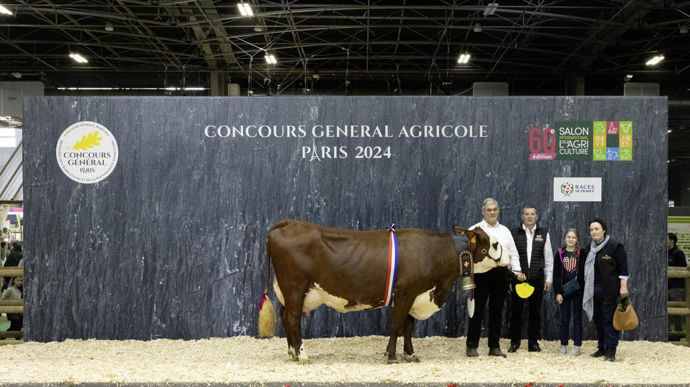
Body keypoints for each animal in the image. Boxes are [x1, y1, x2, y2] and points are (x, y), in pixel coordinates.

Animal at [255, 220, 508, 366]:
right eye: (494, 243)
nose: (509, 256)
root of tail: (289, 223)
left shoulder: (414, 294)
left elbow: (408, 327)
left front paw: (410, 355)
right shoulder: (405, 292)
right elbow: (396, 325)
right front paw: (391, 356)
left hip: (290, 290)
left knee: (286, 315)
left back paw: (292, 353)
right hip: (295, 286)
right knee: (292, 318)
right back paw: (302, 355)